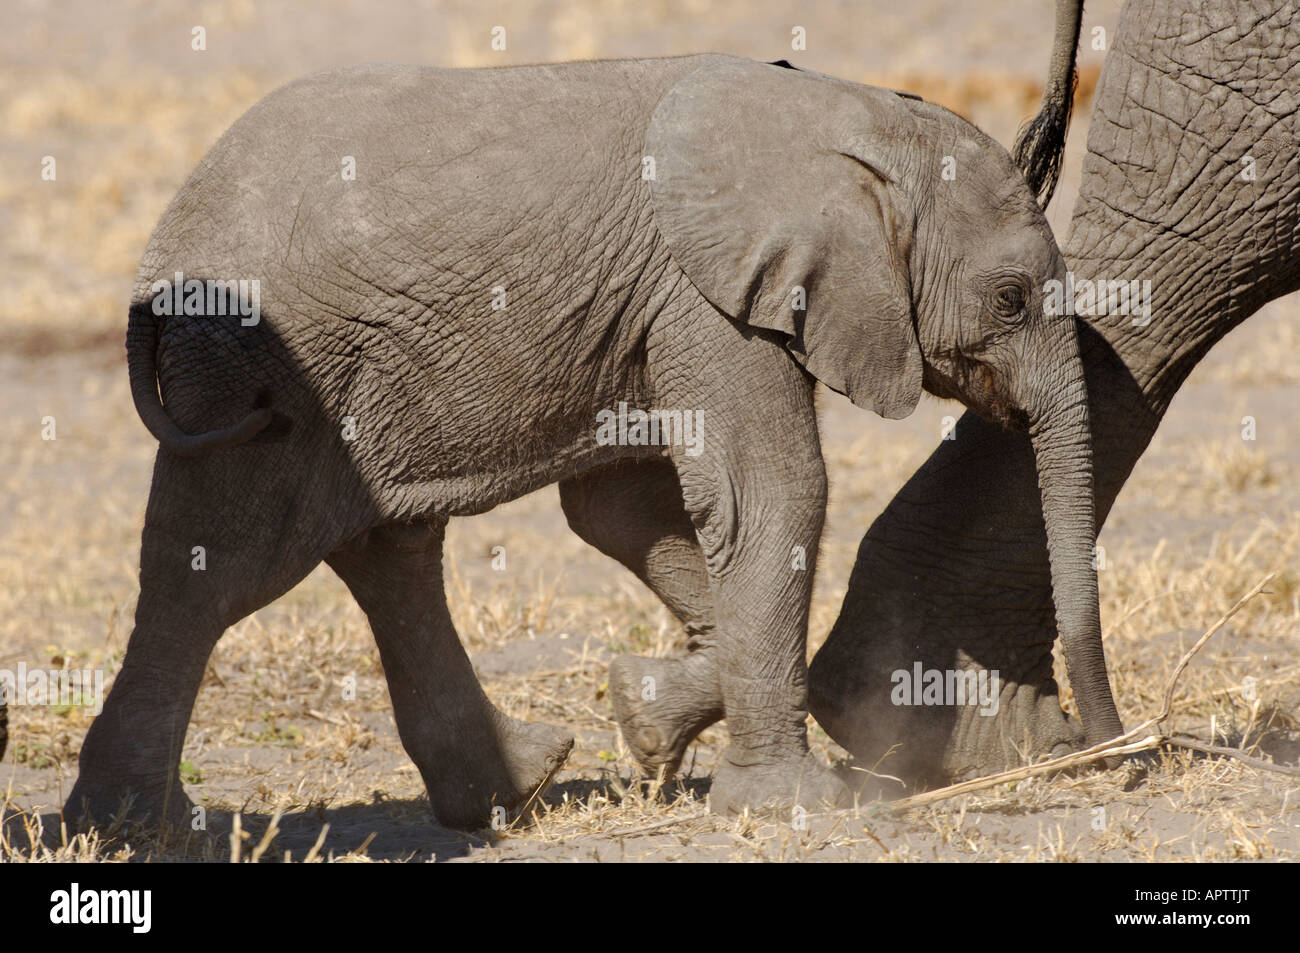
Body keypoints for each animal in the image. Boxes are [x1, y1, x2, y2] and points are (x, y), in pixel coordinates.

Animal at [69, 10, 1114, 830]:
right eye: (1012, 299)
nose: (1098, 744)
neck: (850, 119)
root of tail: (158, 254)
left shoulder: (661, 310)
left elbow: (629, 510)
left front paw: (646, 719)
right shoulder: (705, 296)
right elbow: (771, 493)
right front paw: (793, 805)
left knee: (386, 550)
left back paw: (517, 789)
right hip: (258, 374)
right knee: (218, 569)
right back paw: (135, 827)